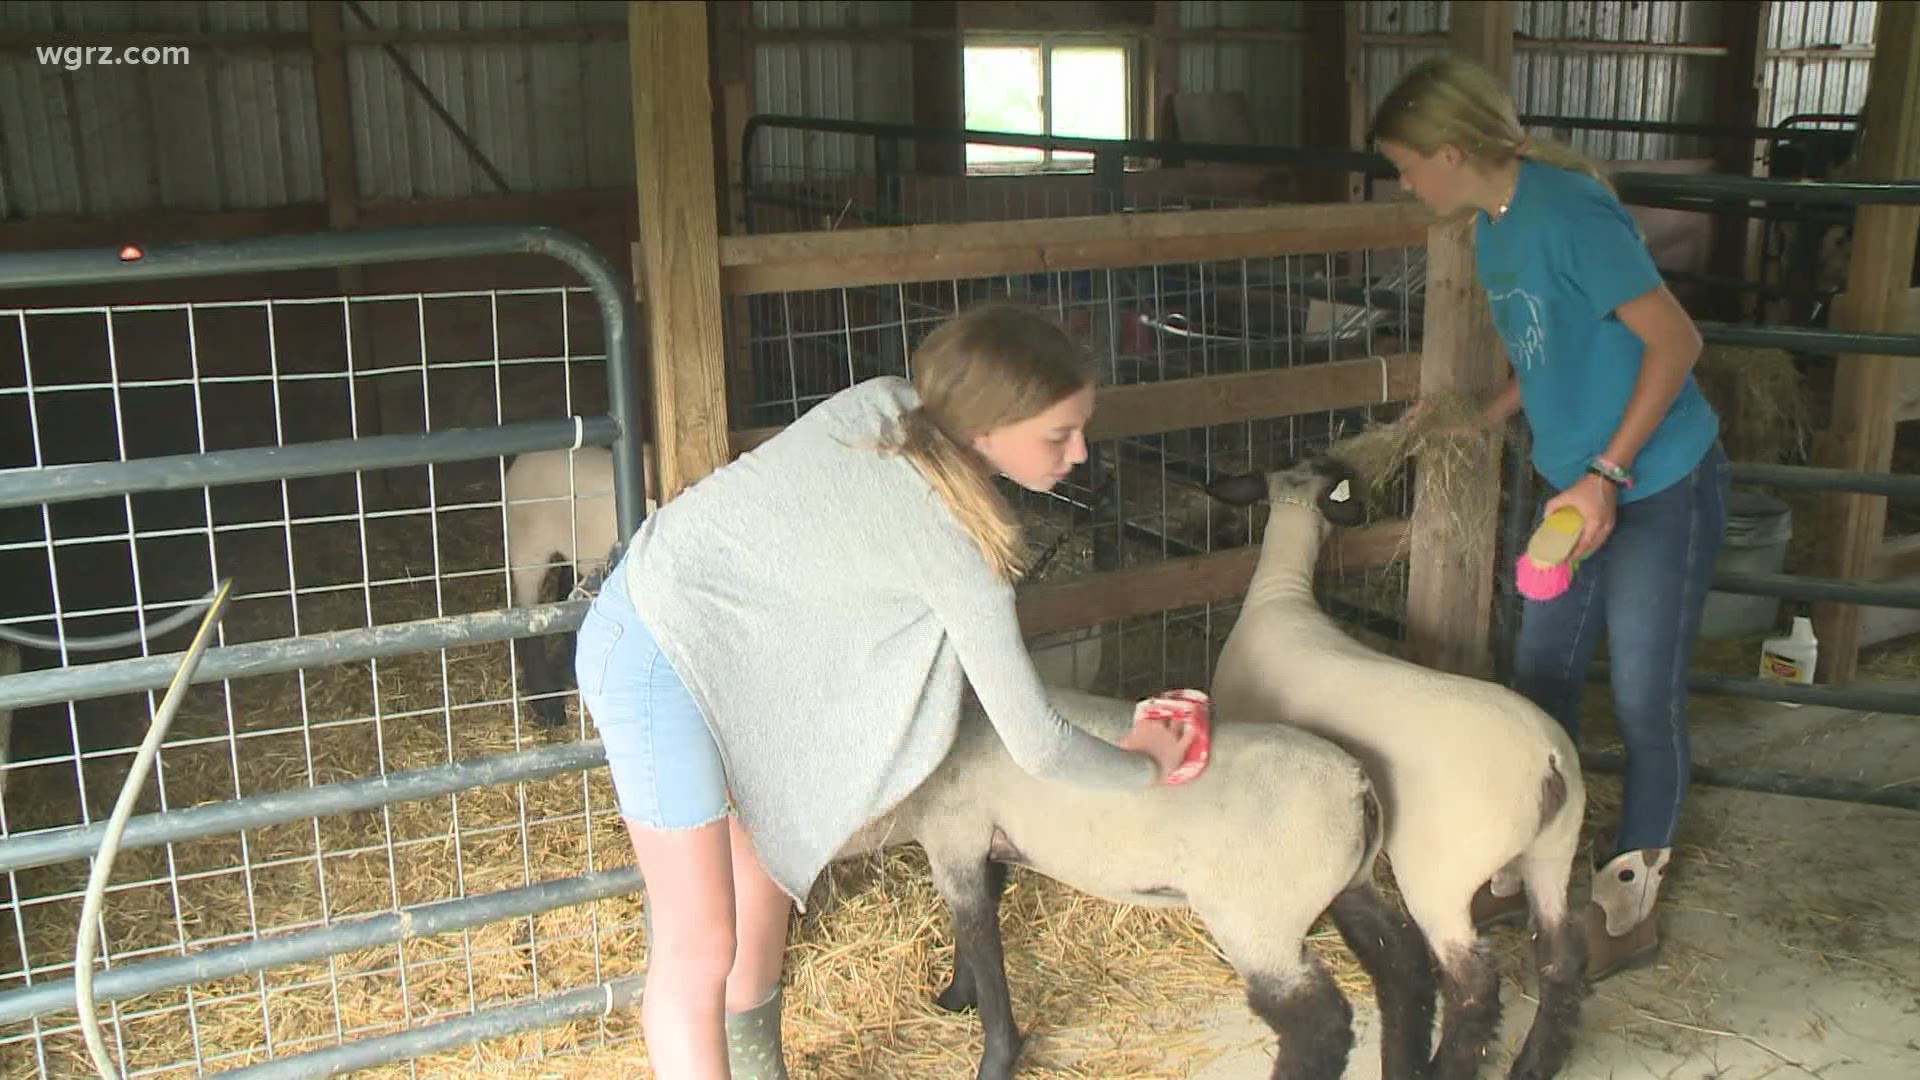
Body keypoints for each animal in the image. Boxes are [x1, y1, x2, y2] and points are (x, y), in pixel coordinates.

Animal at [840, 680, 1443, 1076]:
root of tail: (1358, 788)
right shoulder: (986, 845)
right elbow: (975, 929)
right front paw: (952, 1000)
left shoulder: (957, 837)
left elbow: (979, 942)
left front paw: (992, 1051)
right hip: (1350, 884)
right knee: (1404, 964)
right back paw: (1409, 1064)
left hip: (1257, 916)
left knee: (1318, 1023)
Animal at [1205, 453, 1597, 1076]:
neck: (1281, 594)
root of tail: (1549, 762)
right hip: (1552, 851)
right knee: (1561, 959)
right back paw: (1534, 1063)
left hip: (1441, 872)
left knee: (1473, 985)